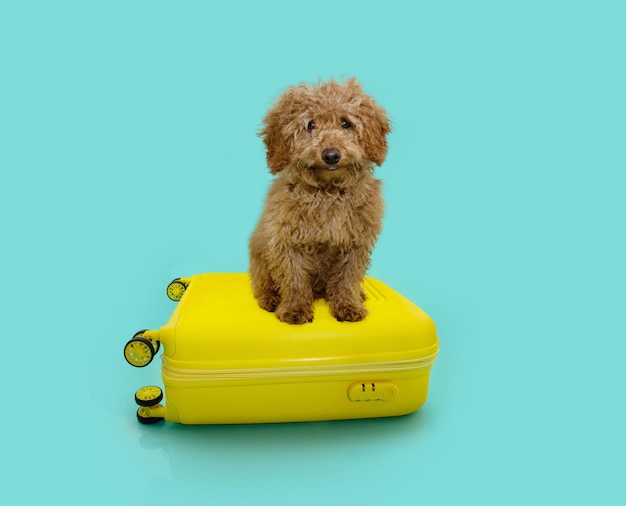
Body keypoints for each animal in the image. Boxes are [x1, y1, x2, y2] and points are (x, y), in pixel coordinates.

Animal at [246, 78, 388, 324]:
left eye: (345, 123)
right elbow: (293, 278)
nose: (331, 155)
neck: (328, 193)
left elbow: (347, 278)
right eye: (310, 125)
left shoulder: (355, 244)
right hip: (259, 257)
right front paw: (295, 309)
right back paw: (270, 299)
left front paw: (347, 305)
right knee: (262, 283)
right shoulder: (287, 241)